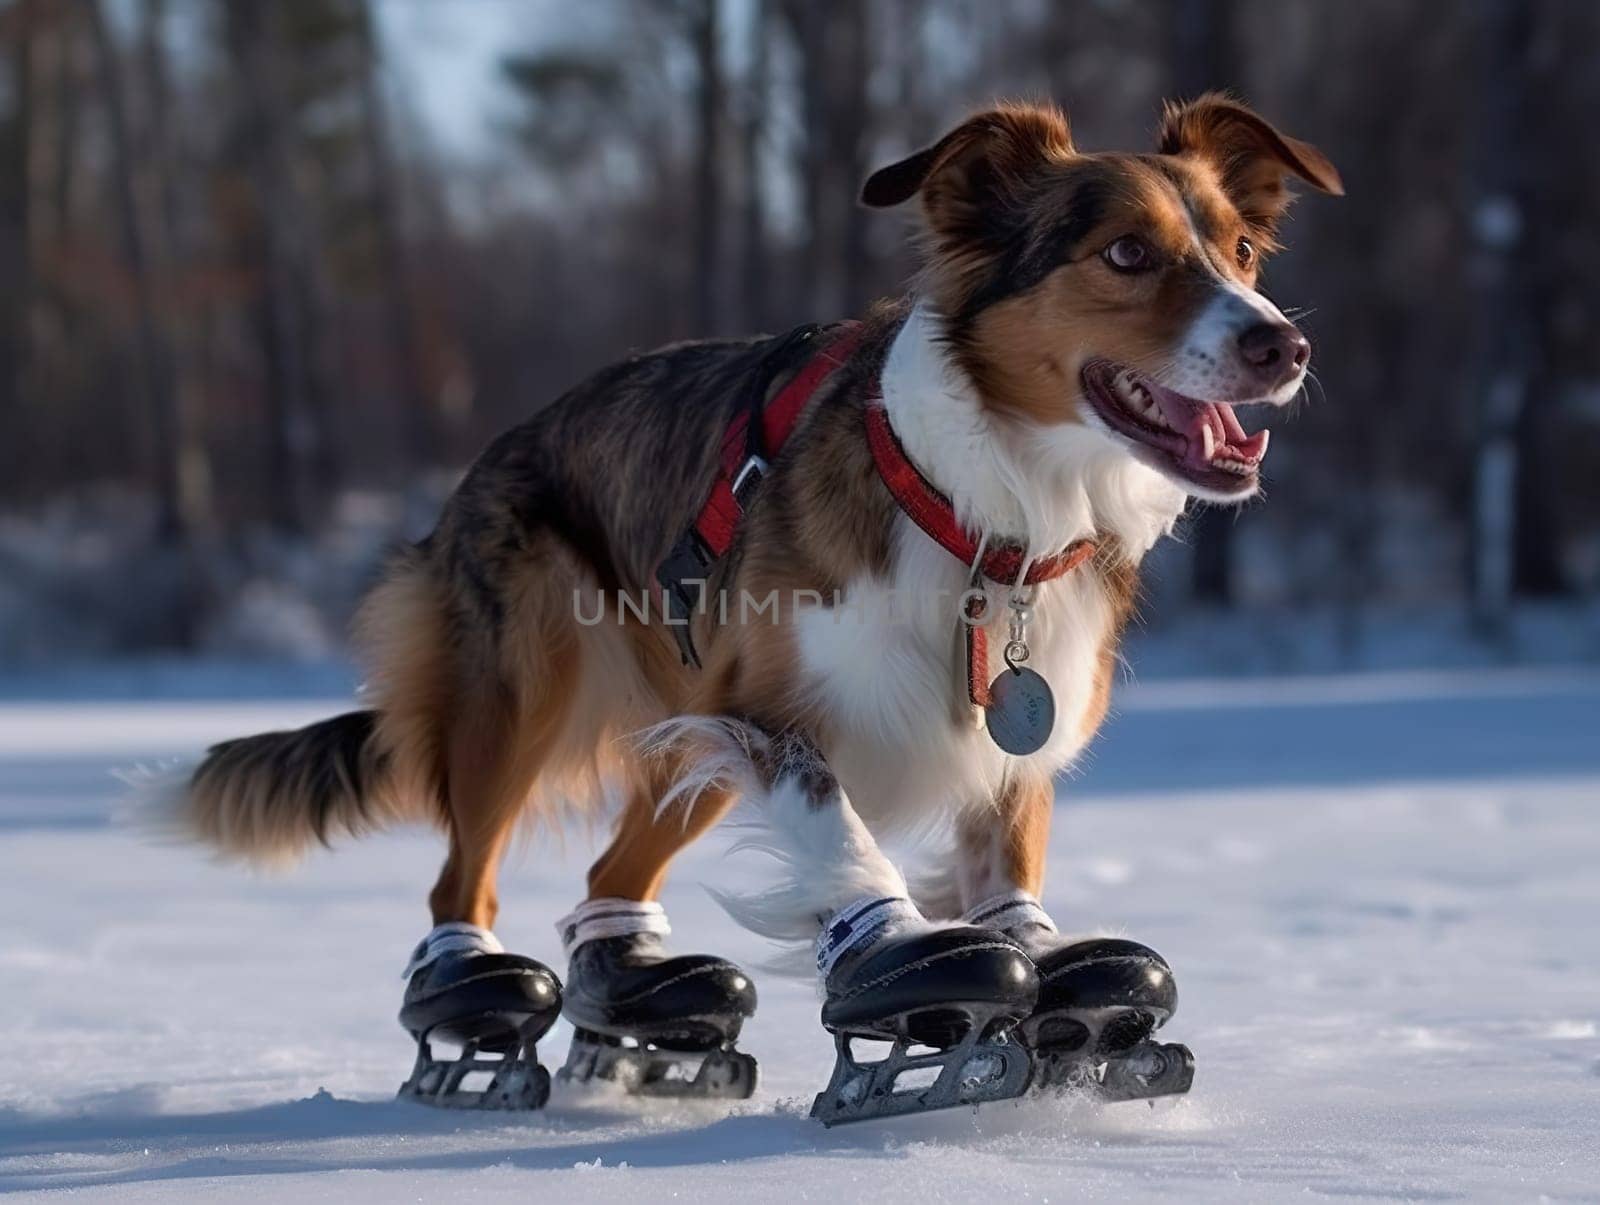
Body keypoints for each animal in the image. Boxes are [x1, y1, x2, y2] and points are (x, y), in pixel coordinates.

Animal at [159, 94, 1337, 1107]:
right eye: (1126, 253)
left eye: (1241, 251)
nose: (1282, 342)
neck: (983, 513)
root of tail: (491, 453)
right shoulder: (766, 712)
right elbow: (837, 825)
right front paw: (899, 954)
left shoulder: (1016, 709)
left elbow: (1007, 848)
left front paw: (1048, 965)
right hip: (525, 689)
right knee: (461, 882)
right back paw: (471, 1000)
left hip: (682, 729)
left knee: (607, 869)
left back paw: (632, 1004)